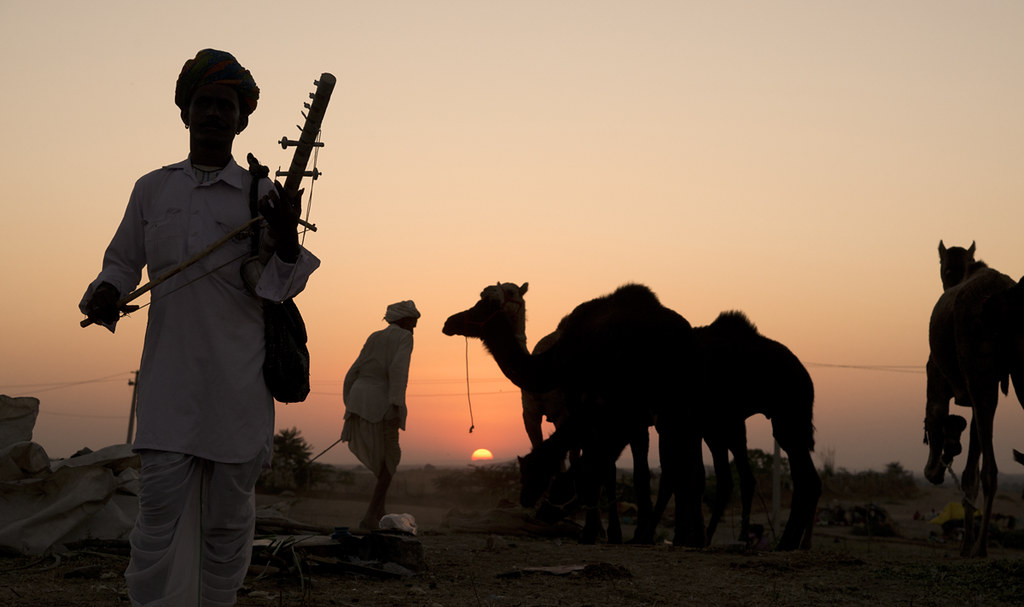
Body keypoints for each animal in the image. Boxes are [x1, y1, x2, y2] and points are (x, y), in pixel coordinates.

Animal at [440, 282, 704, 548]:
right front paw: (603, 531)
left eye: (481, 305)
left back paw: (666, 535)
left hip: (665, 408)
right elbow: (609, 469)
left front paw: (593, 532)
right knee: (684, 466)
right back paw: (684, 537)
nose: (449, 322)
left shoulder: (595, 409)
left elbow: (599, 470)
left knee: (673, 467)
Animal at [655, 313, 815, 548]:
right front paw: (682, 538)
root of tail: (806, 376)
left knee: (800, 478)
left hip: (785, 420)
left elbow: (683, 475)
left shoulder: (687, 423)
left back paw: (784, 541)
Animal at [925, 239, 1019, 556]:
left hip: (979, 371)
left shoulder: (936, 378)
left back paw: (981, 547)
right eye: (945, 268)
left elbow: (934, 419)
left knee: (990, 470)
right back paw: (976, 545)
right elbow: (969, 473)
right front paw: (964, 543)